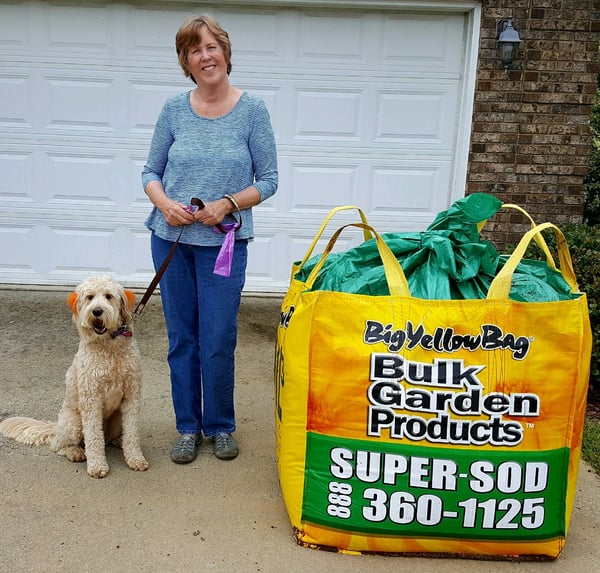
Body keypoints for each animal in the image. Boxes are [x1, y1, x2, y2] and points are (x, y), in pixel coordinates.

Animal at [0, 274, 149, 476]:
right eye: (90, 297)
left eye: (108, 296)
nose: (97, 311)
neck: (109, 346)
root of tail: (56, 426)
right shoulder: (91, 399)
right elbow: (93, 437)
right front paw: (97, 466)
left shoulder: (131, 395)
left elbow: (132, 433)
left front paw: (135, 458)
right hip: (74, 422)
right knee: (58, 445)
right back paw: (75, 452)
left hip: (117, 417)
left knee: (112, 437)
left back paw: (118, 440)